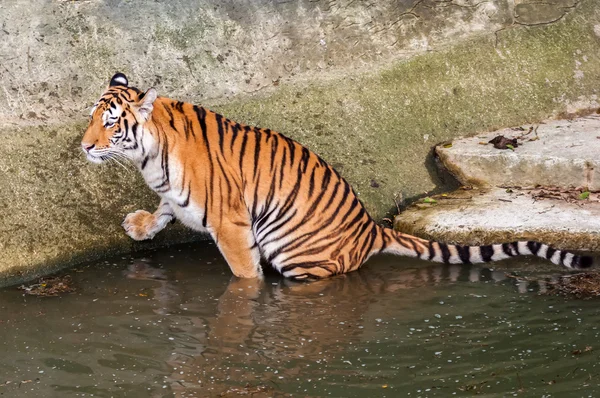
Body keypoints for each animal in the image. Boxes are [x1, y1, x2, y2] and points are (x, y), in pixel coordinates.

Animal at [81, 74, 596, 280]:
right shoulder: (174, 196)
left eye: (110, 123)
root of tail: (372, 229)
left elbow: (244, 276)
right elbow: (165, 209)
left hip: (295, 253)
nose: (84, 146)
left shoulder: (230, 223)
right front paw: (138, 225)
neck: (151, 156)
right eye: (91, 119)